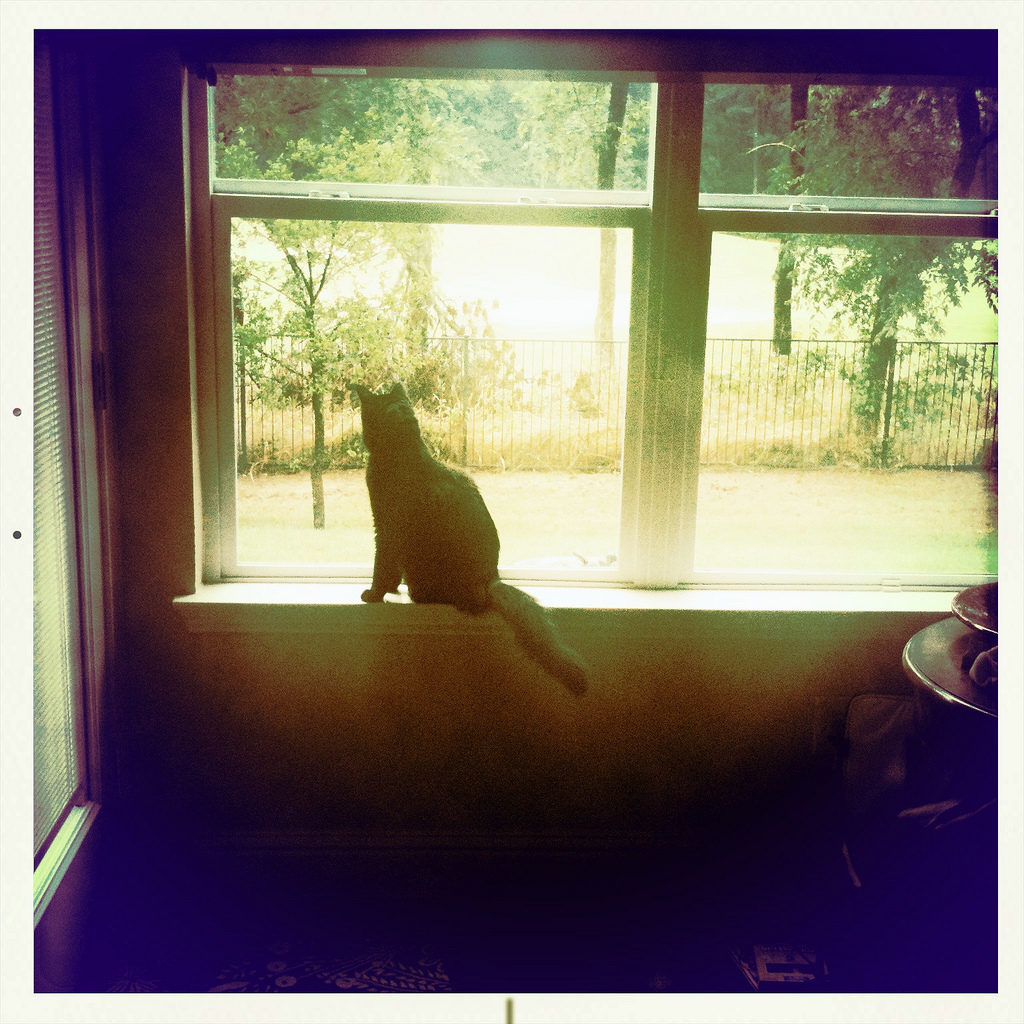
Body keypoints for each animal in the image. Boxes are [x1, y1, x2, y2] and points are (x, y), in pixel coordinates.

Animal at [352, 382, 589, 696]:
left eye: (365, 416)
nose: (362, 437)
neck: (406, 454)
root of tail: (491, 583)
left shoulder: (388, 529)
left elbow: (383, 567)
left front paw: (374, 595)